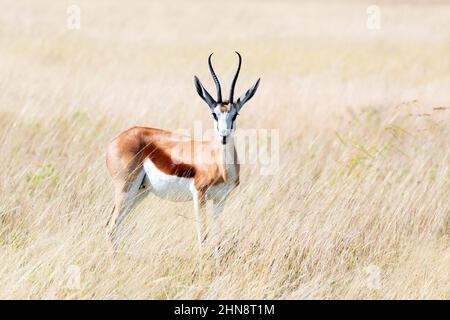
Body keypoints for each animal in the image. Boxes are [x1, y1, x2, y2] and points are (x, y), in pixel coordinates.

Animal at [105, 52, 260, 246]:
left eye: (235, 114)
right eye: (214, 114)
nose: (224, 136)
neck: (220, 165)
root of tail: (116, 140)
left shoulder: (220, 200)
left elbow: (218, 235)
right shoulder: (199, 194)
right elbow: (203, 235)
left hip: (139, 192)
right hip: (126, 189)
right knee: (111, 227)